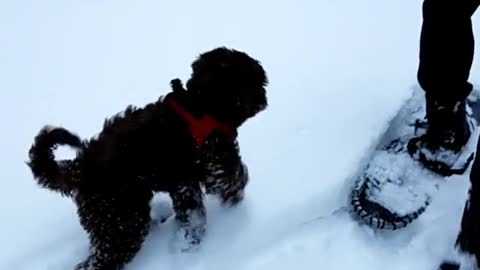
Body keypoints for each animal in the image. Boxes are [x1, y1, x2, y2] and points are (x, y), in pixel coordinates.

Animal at [27, 47, 270, 268]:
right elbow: (234, 179)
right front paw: (235, 206)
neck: (200, 104)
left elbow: (190, 211)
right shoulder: (217, 161)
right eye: (254, 81)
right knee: (101, 260)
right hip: (121, 220)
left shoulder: (184, 183)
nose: (263, 97)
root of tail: (81, 166)